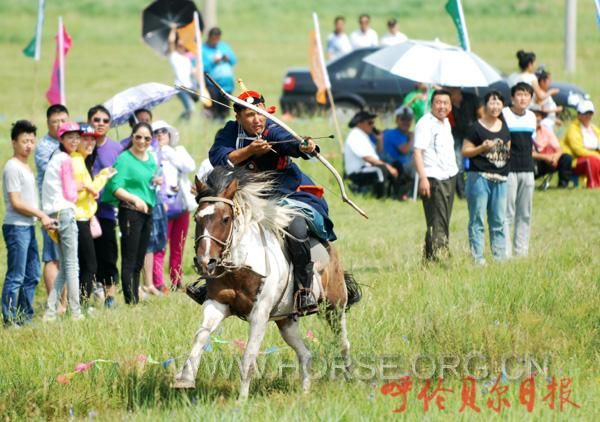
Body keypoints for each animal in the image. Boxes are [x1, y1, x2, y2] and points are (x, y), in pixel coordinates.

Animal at [173, 166, 360, 400]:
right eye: (197, 219)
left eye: (225, 219)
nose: (205, 262)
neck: (241, 266)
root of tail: (330, 248)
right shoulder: (216, 304)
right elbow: (200, 336)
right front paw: (185, 378)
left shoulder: (259, 314)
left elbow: (248, 357)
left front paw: (241, 401)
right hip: (286, 320)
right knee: (305, 354)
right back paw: (305, 391)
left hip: (335, 307)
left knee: (343, 342)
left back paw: (350, 376)